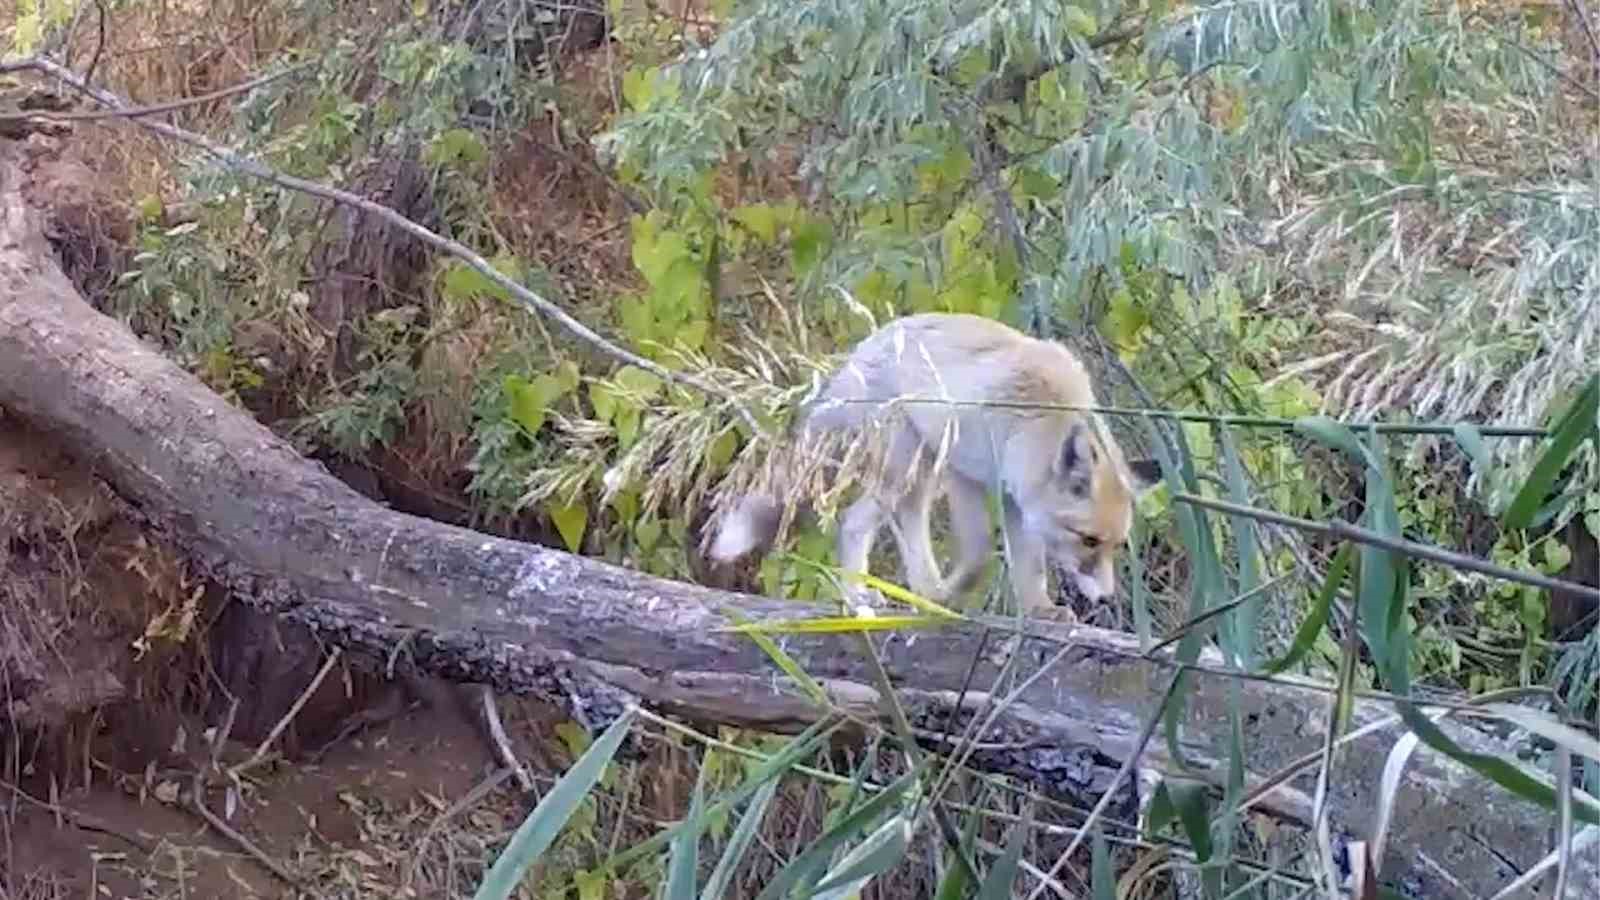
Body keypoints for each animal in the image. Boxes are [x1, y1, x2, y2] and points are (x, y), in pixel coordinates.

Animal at [707, 312, 1158, 611]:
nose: (1106, 598)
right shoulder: (965, 472)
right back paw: (861, 597)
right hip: (904, 470)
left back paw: (925, 593)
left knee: (907, 534)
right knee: (852, 524)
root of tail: (867, 344)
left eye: (1117, 545)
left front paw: (1040, 613)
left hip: (918, 479)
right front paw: (961, 591)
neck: (1034, 422)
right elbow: (979, 555)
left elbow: (1029, 568)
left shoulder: (1016, 497)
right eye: (1089, 540)